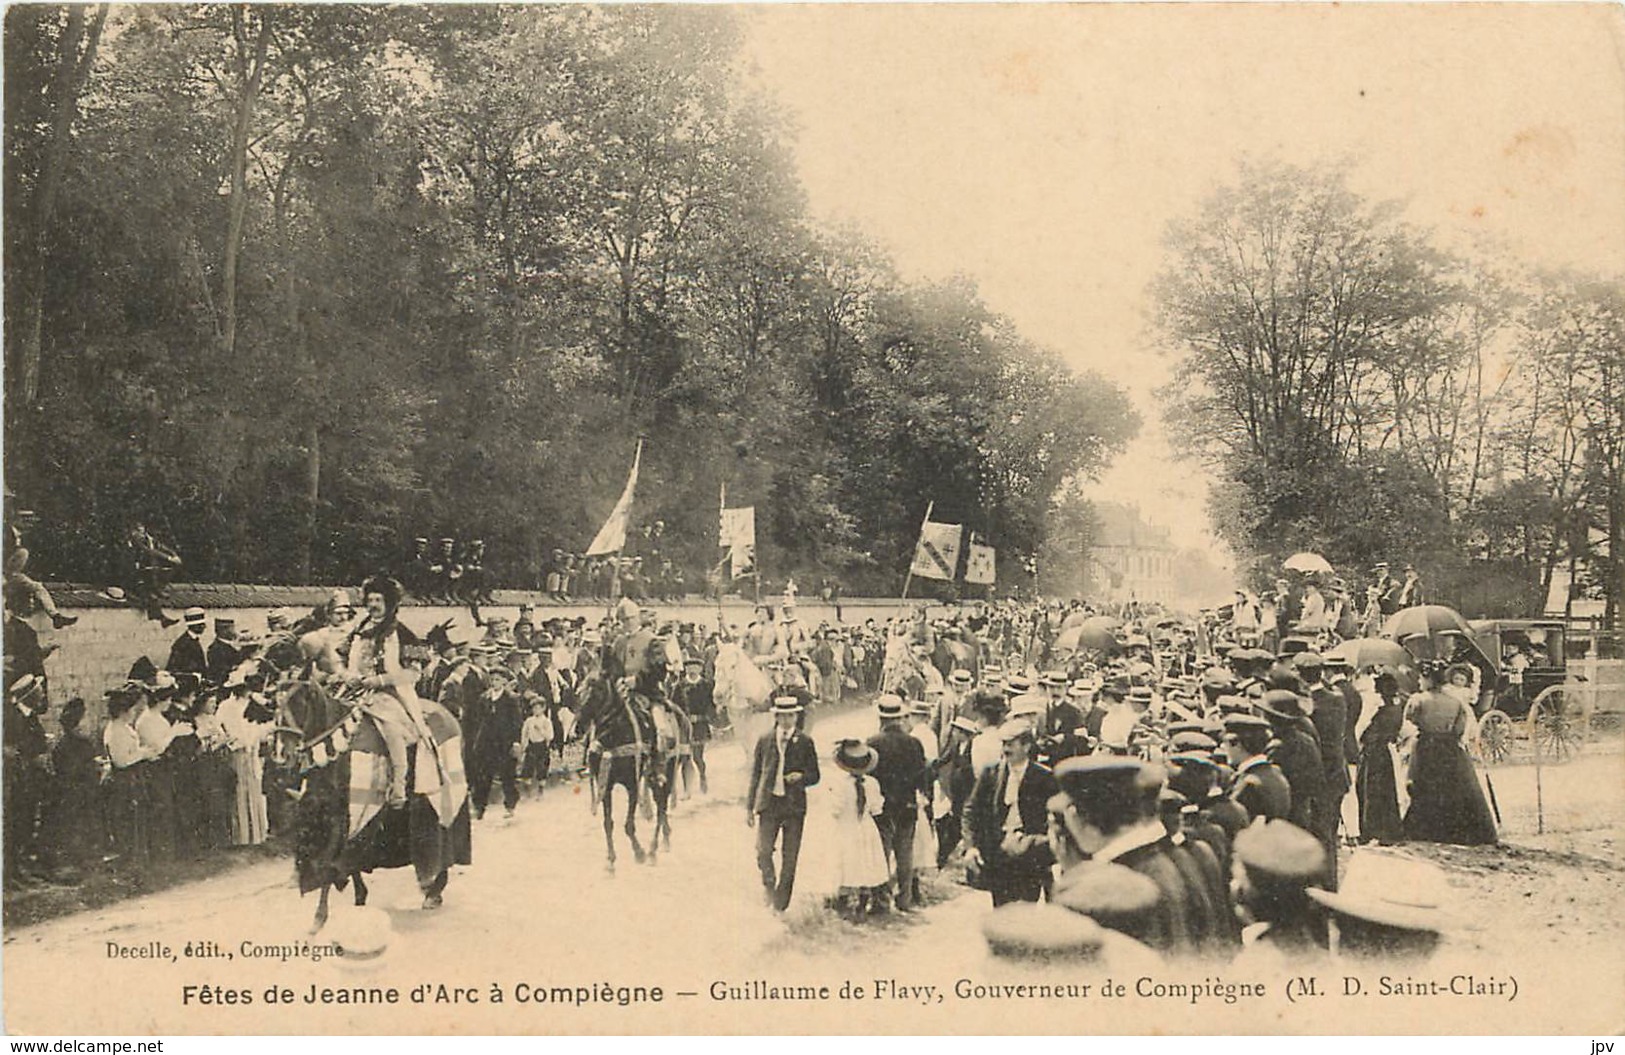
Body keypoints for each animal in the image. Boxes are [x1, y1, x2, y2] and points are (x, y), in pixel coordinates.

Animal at [274, 676, 471, 929]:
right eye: (275, 706)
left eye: (299, 703)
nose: (282, 756)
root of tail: (449, 714)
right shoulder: (326, 813)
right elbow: (346, 859)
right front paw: (359, 896)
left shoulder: (347, 817)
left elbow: (331, 862)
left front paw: (319, 917)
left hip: (441, 800)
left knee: (445, 840)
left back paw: (433, 891)